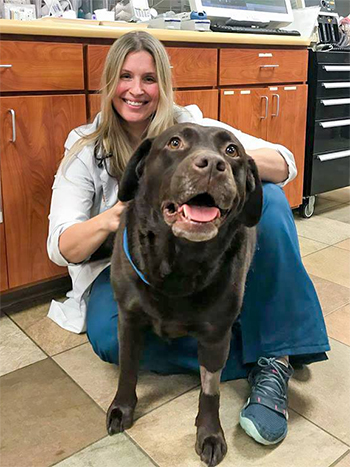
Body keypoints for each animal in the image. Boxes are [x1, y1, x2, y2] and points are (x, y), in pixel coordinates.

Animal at [106, 122, 262, 466]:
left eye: (232, 150)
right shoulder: (128, 319)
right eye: (175, 142)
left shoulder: (216, 337)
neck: (179, 261)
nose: (213, 164)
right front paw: (122, 408)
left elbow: (210, 392)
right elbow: (127, 369)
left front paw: (210, 434)